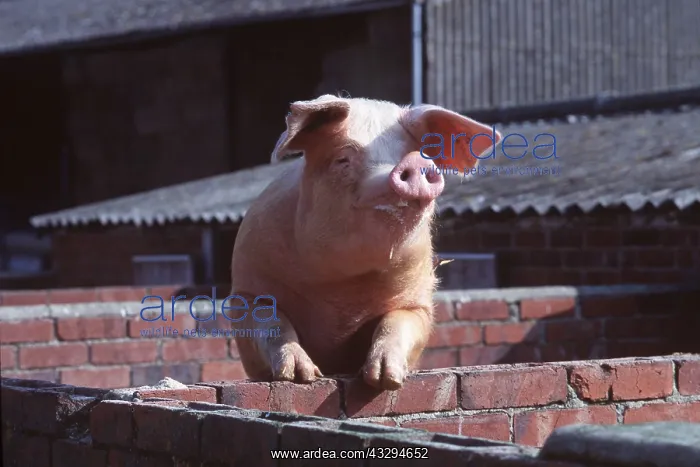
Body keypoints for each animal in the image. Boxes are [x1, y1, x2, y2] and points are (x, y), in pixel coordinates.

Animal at [230, 94, 501, 390]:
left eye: (417, 153)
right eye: (343, 160)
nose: (415, 163)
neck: (344, 287)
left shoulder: (418, 299)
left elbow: (396, 322)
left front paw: (385, 380)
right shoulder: (246, 289)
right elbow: (272, 323)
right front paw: (302, 377)